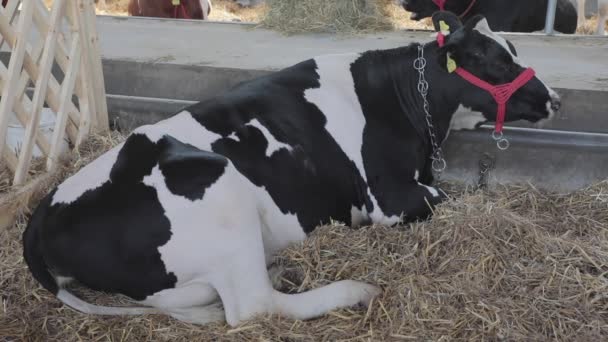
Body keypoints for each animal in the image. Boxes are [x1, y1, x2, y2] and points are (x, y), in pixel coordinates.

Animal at [23, 12, 560, 328]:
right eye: (495, 62)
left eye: (514, 50)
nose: (555, 99)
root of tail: (43, 212)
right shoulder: (388, 199)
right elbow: (454, 200)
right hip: (220, 189)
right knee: (252, 307)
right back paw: (354, 290)